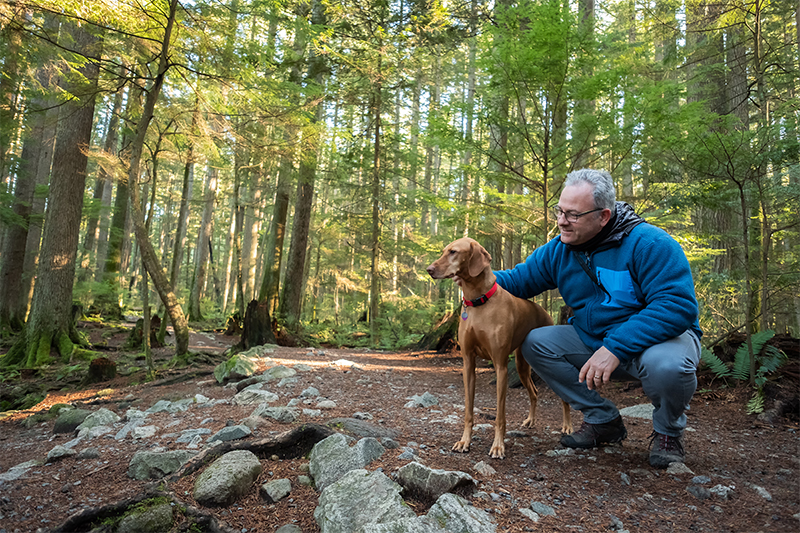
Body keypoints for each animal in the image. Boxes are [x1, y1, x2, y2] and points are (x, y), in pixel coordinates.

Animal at [428, 237, 572, 458]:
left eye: (453, 252)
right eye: (444, 251)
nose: (429, 269)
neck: (479, 302)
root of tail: (545, 313)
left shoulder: (501, 367)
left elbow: (499, 416)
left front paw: (498, 446)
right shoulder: (468, 364)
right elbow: (468, 411)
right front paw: (464, 441)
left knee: (564, 398)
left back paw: (567, 426)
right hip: (521, 365)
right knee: (534, 393)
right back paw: (530, 420)